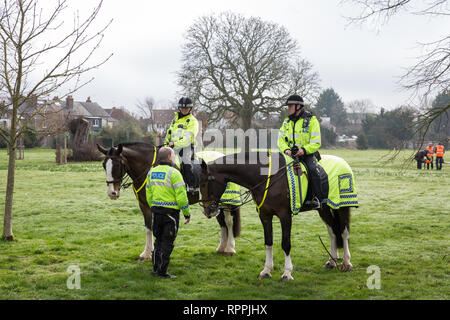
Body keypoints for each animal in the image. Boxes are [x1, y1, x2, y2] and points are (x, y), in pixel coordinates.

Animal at [201, 152, 356, 280]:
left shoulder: (285, 216)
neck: (267, 178)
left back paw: (346, 262)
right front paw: (266, 270)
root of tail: (343, 161)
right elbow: (268, 242)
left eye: (206, 182)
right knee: (332, 231)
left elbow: (285, 244)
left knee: (343, 232)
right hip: (324, 208)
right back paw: (332, 261)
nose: (207, 210)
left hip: (341, 207)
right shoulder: (265, 216)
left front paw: (287, 273)